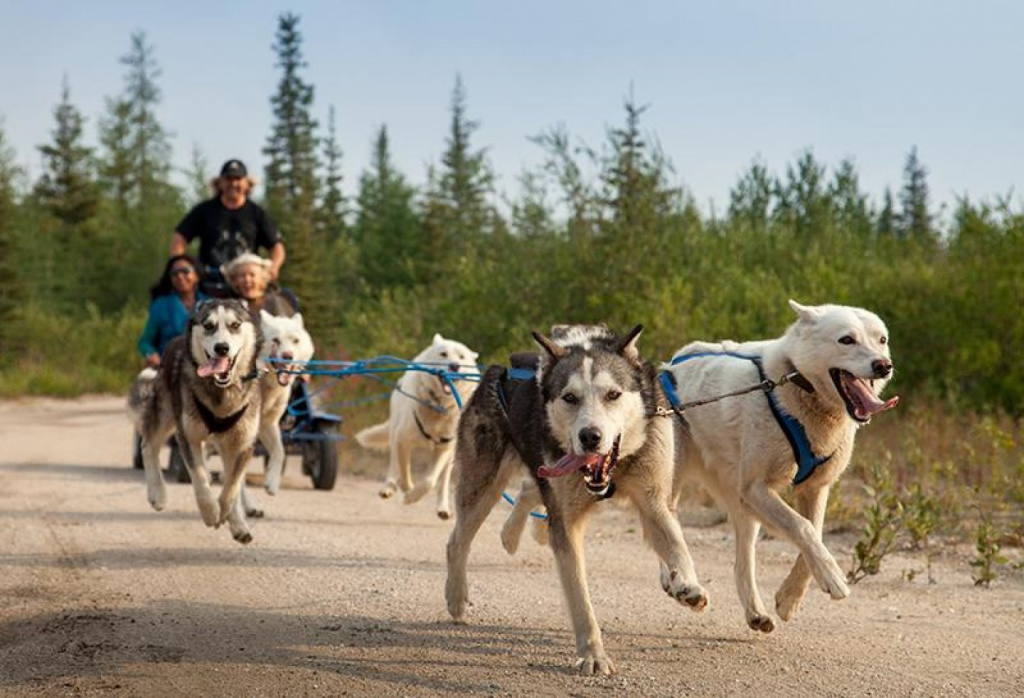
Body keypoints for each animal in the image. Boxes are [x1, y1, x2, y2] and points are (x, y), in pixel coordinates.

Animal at [128, 296, 262, 540]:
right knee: (148, 444)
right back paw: (157, 493)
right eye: (208, 325)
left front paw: (228, 514)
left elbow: (232, 486)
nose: (221, 348)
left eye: (235, 325)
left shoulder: (243, 443)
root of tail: (175, 341)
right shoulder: (188, 436)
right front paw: (210, 512)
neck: (221, 393)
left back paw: (238, 523)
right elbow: (199, 478)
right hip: (166, 410)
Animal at [356, 331, 479, 515]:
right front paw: (407, 492)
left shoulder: (444, 447)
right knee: (394, 464)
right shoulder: (402, 440)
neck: (438, 406)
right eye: (443, 354)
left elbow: (430, 481)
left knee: (443, 480)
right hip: (394, 432)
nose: (454, 366)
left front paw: (414, 495)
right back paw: (389, 487)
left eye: (462, 357)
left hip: (453, 453)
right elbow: (404, 471)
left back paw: (443, 507)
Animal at [444, 325, 708, 675]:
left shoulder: (653, 501)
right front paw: (594, 655)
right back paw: (457, 595)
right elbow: (579, 597)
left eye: (613, 395)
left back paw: (512, 534)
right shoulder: (566, 525)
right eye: (570, 397)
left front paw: (688, 586)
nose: (590, 436)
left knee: (528, 492)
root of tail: (498, 369)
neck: (614, 470)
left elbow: (678, 545)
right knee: (457, 541)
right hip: (483, 485)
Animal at [663, 298, 897, 630]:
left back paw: (755, 612)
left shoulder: (815, 488)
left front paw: (789, 598)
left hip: (745, 508)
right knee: (664, 530)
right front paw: (833, 577)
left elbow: (814, 533)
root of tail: (671, 364)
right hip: (674, 486)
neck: (797, 386)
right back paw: (682, 585)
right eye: (846, 340)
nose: (883, 365)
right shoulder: (758, 488)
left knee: (741, 564)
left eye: (882, 340)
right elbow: (803, 528)